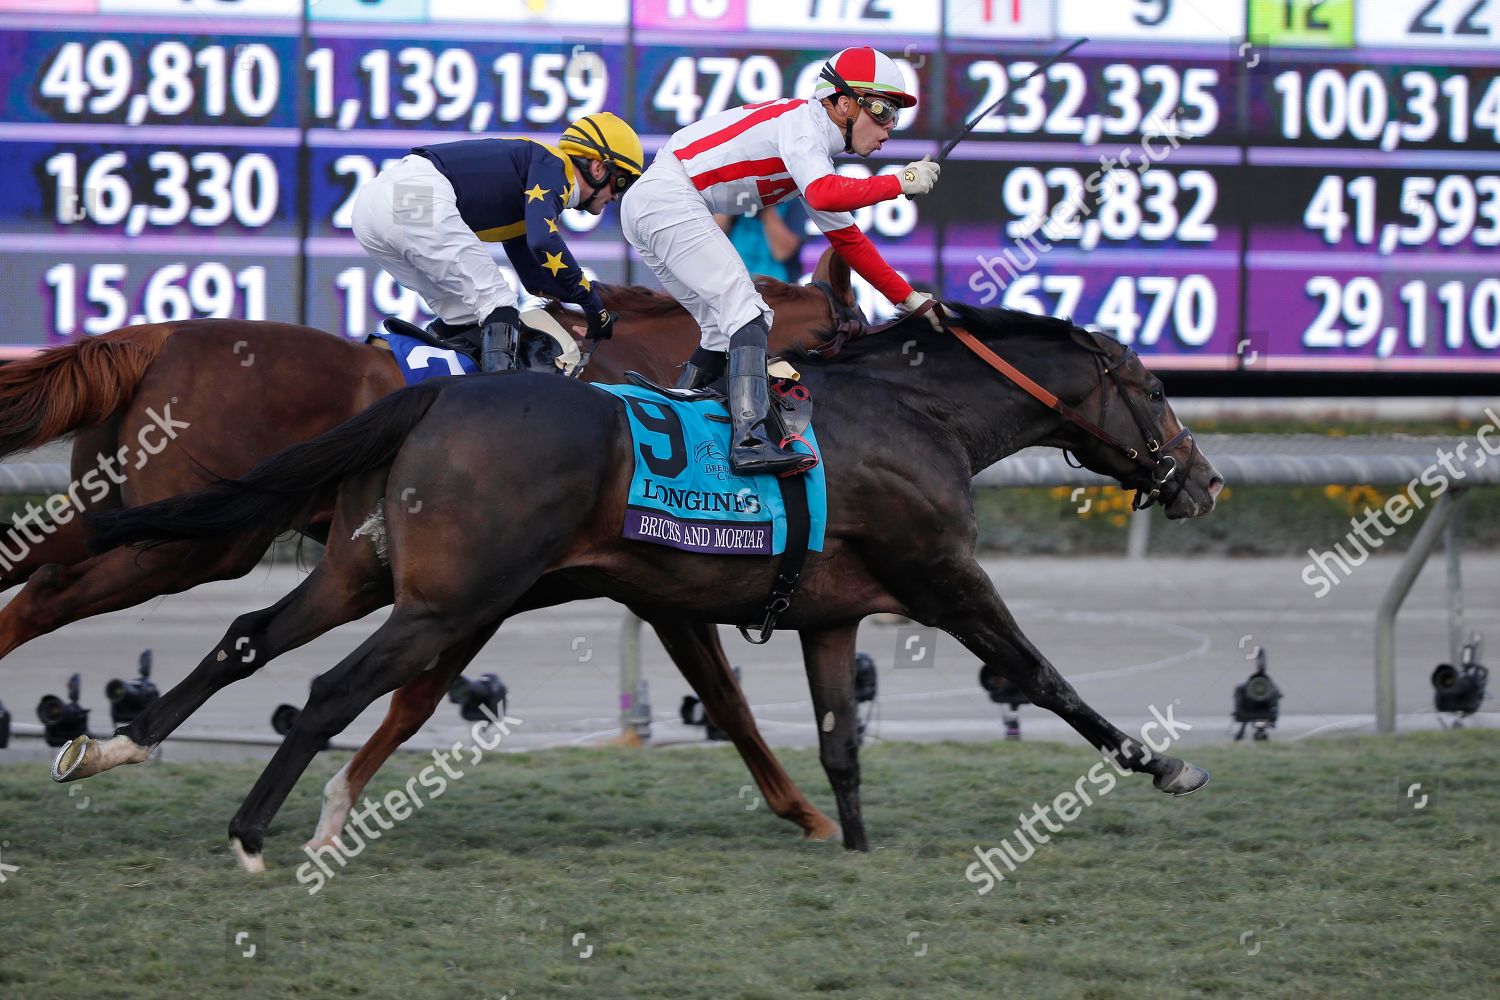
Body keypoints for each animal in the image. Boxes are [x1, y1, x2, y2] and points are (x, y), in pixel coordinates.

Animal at [79, 302, 1218, 869]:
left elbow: (841, 744)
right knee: (326, 690)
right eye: (1157, 390)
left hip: (369, 572)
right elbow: (1043, 676)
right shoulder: (944, 574)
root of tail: (437, 394)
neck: (915, 415)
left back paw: (115, 744)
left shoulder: (831, 618)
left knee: (249, 635)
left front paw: (850, 847)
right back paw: (250, 833)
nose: (1202, 479)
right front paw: (1166, 765)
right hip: (449, 601)